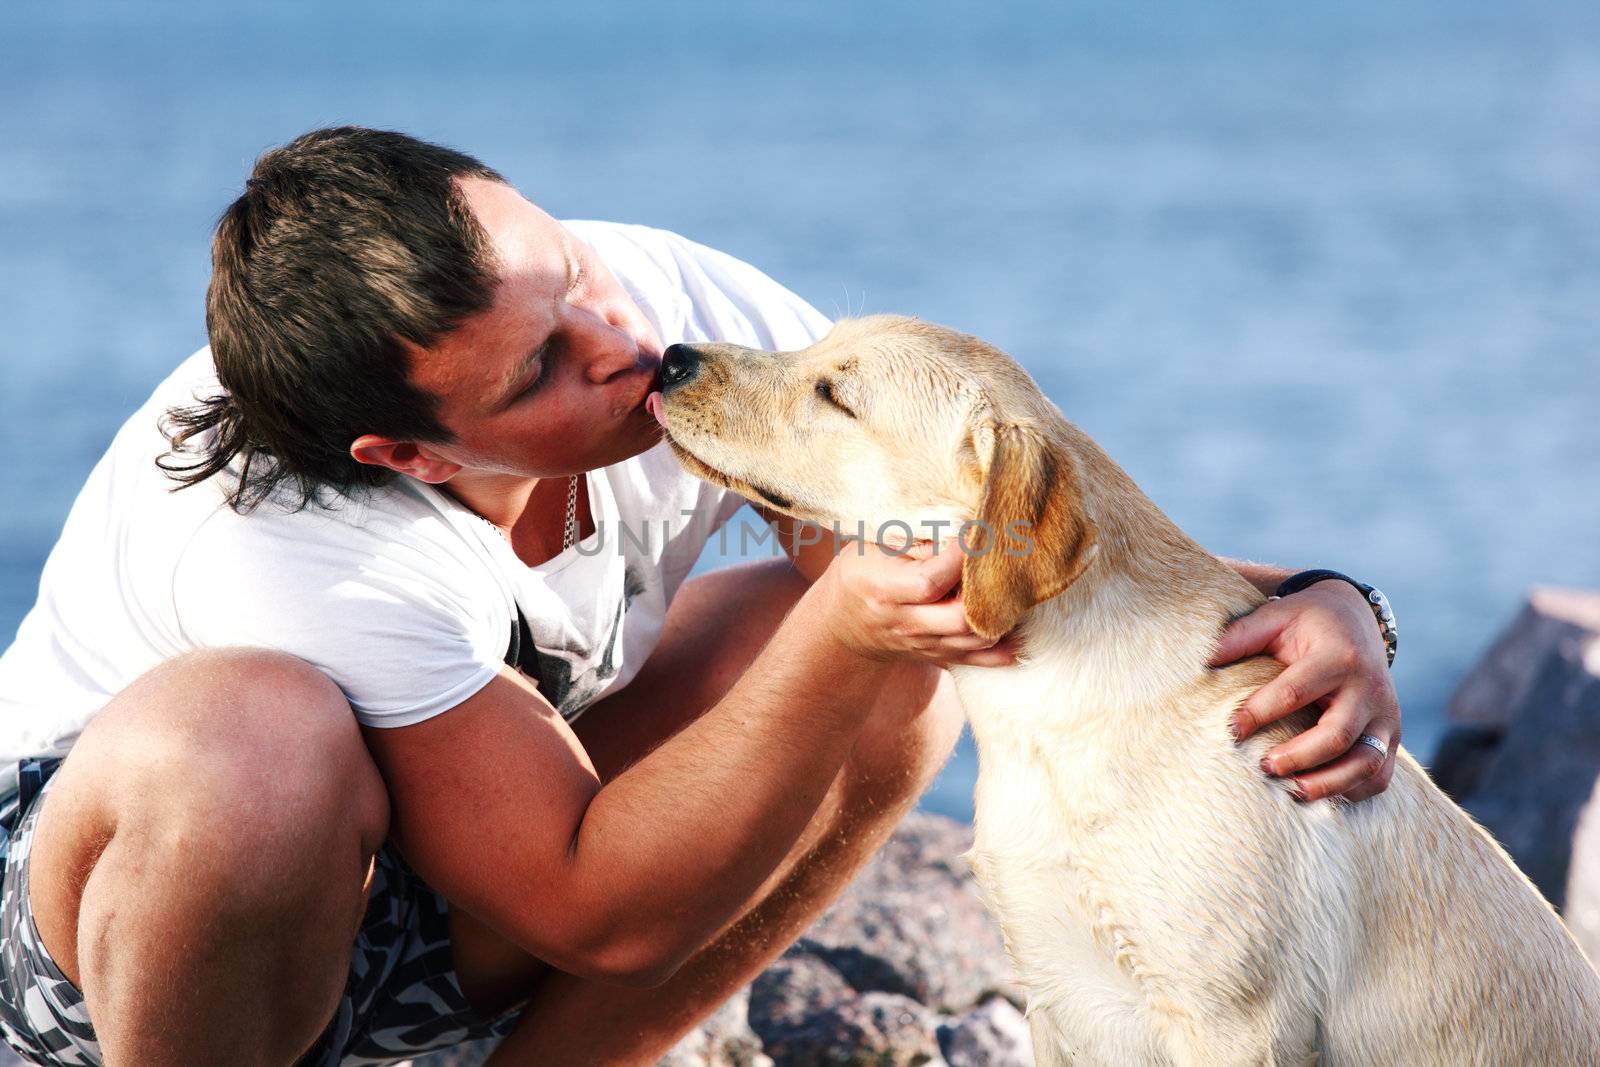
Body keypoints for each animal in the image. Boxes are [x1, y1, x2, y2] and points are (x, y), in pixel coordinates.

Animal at [656, 316, 1600, 1067]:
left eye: (834, 393)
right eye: (812, 346)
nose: (669, 357)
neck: (1045, 719)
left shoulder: (1236, 1023)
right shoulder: (1056, 997)